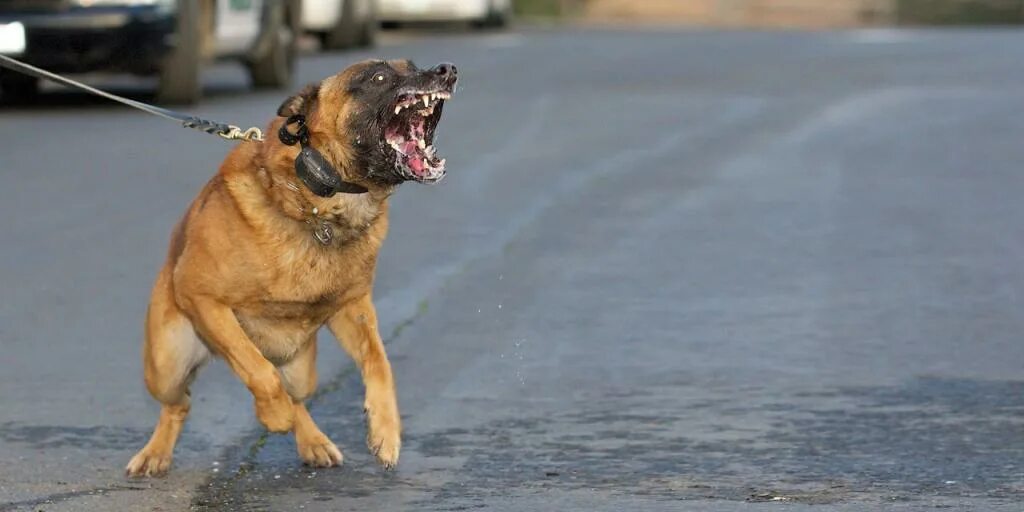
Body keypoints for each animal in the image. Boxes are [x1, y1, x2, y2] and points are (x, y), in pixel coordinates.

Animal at [123, 58, 456, 475]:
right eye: (379, 77)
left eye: (412, 65)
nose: (447, 70)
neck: (317, 203)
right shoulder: (202, 298)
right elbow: (255, 368)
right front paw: (273, 414)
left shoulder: (354, 308)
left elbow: (380, 362)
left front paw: (386, 430)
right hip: (166, 365)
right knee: (180, 402)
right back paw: (156, 453)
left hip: (301, 370)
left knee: (297, 399)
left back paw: (314, 442)